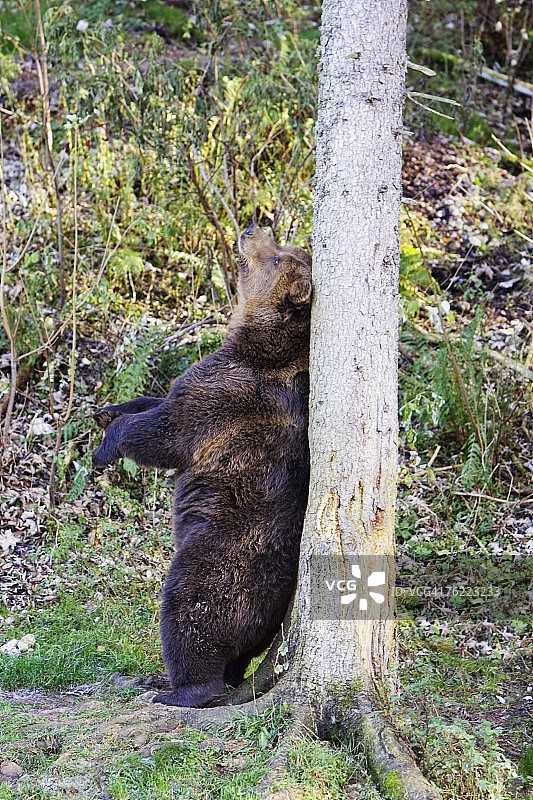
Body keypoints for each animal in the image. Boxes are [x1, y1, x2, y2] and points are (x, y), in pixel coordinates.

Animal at [93, 224, 312, 707]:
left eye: (276, 258)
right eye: (282, 245)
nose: (251, 228)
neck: (259, 346)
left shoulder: (228, 395)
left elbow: (167, 433)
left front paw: (105, 448)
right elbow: (158, 400)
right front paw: (108, 409)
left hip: (221, 558)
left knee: (189, 610)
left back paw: (178, 691)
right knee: (236, 654)